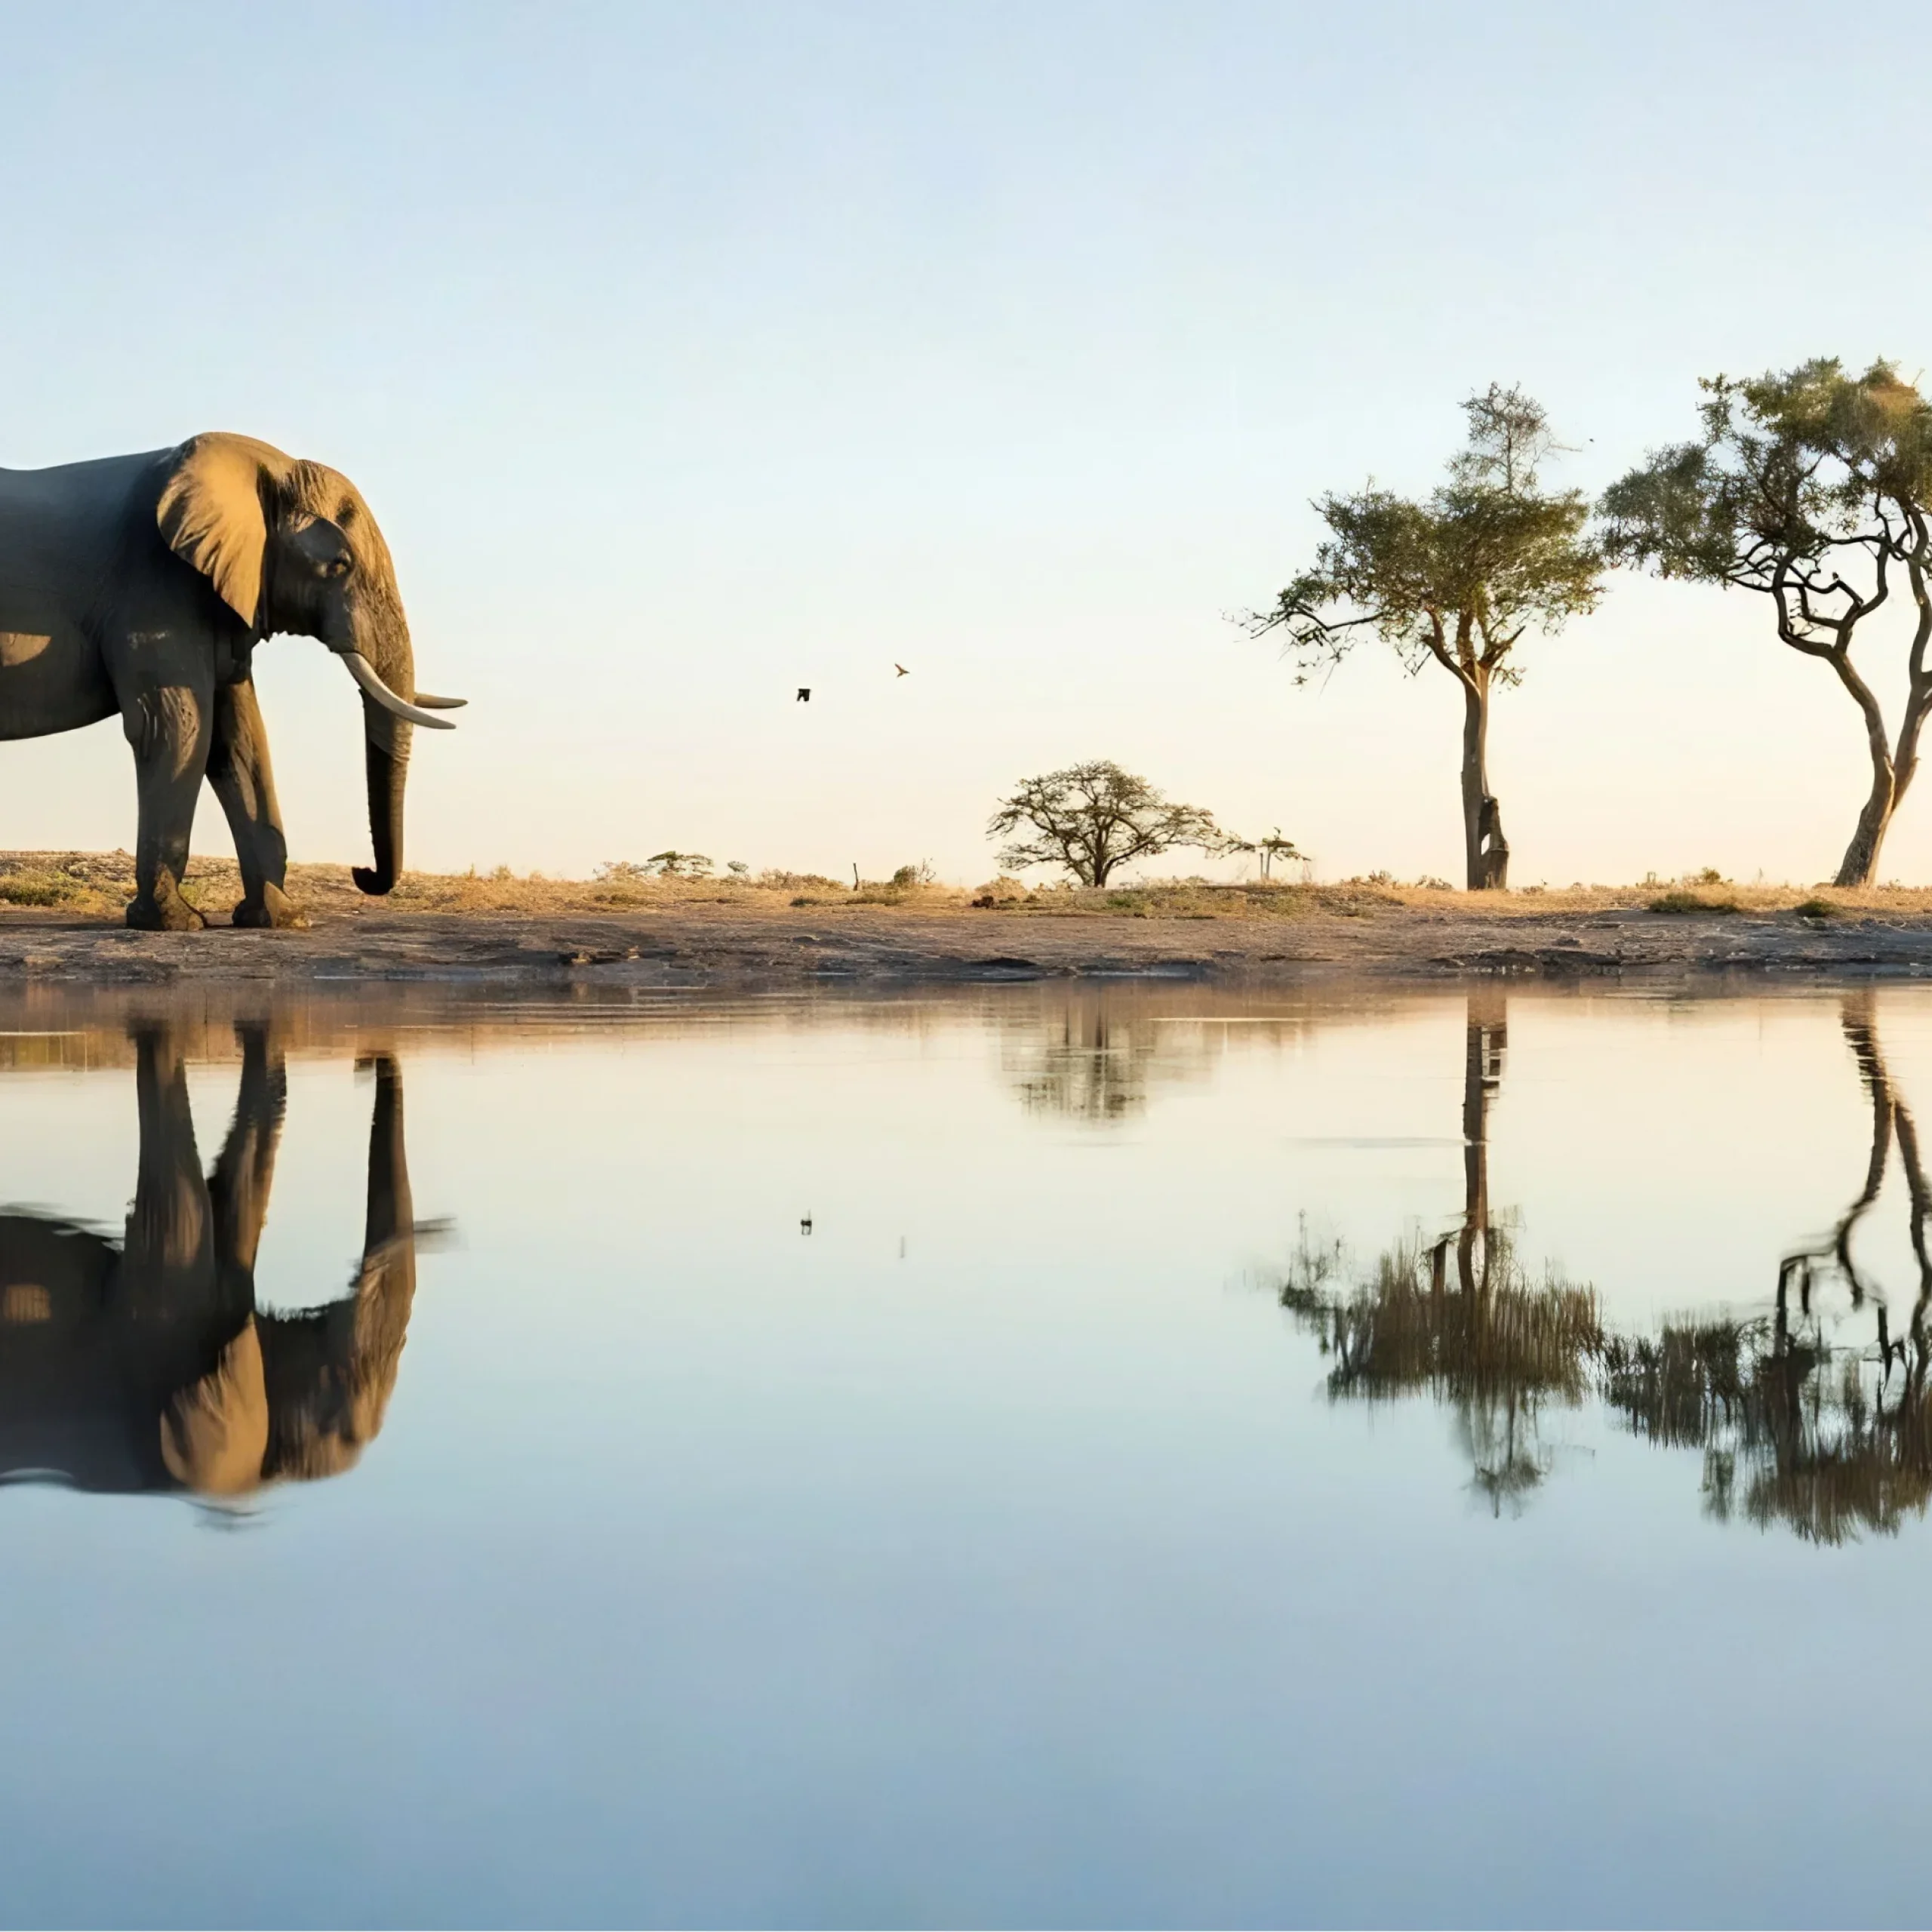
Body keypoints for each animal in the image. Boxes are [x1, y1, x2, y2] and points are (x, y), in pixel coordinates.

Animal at [0, 433, 464, 930]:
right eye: (339, 564)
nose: (363, 873)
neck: (269, 466)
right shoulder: (154, 590)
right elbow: (179, 727)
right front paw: (173, 923)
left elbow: (240, 737)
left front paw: (280, 919)